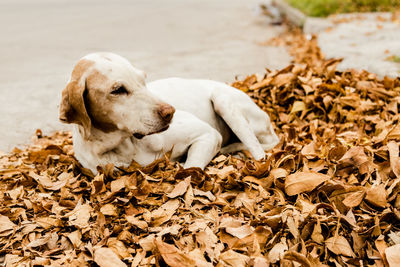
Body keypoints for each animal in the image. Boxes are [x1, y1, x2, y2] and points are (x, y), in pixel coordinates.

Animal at [59, 52, 278, 174]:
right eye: (118, 90)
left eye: (143, 79)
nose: (170, 112)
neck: (123, 146)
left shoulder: (209, 135)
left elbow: (190, 168)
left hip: (222, 100)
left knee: (259, 152)